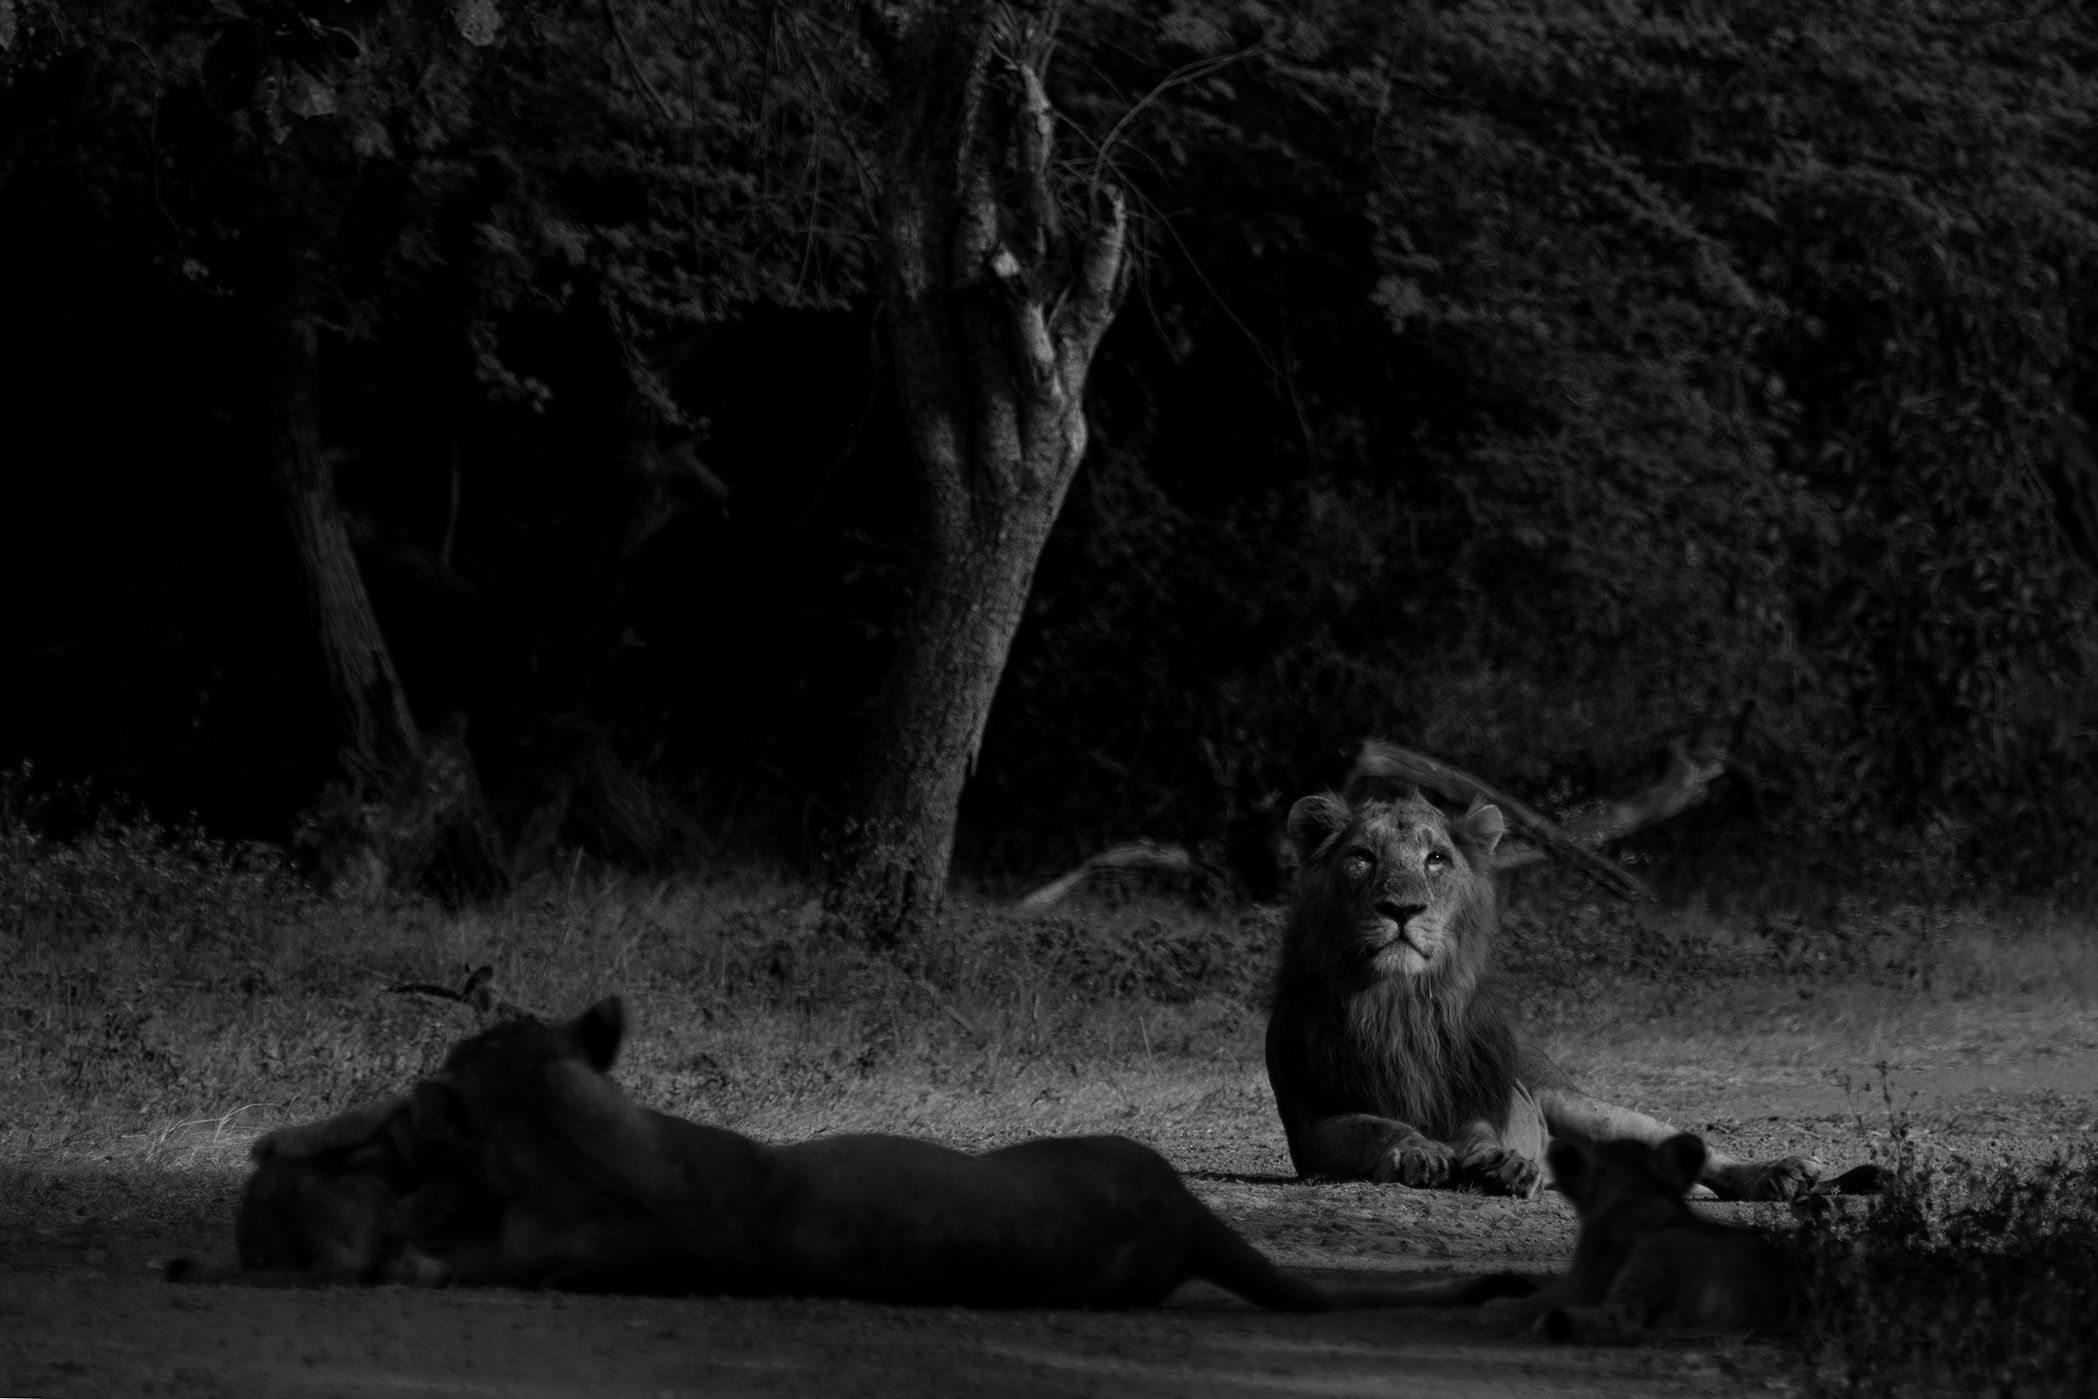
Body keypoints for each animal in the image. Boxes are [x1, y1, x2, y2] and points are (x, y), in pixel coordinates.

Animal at [1266, 789, 1838, 1201]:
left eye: (1436, 859)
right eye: (1362, 857)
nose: (1402, 909)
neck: (1402, 1003)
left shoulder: (1475, 1099)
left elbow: (1481, 1132)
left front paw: (1499, 1163)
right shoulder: (1314, 1121)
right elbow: (1377, 1127)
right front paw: (1418, 1152)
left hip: (1589, 1109)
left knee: (1700, 1152)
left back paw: (1783, 1173)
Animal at [1500, 1133, 1803, 1341]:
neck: (1641, 1187)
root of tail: (1748, 1313)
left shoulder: (1581, 1283)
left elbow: (1525, 1304)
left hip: (1660, 1247)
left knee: (1623, 1321)